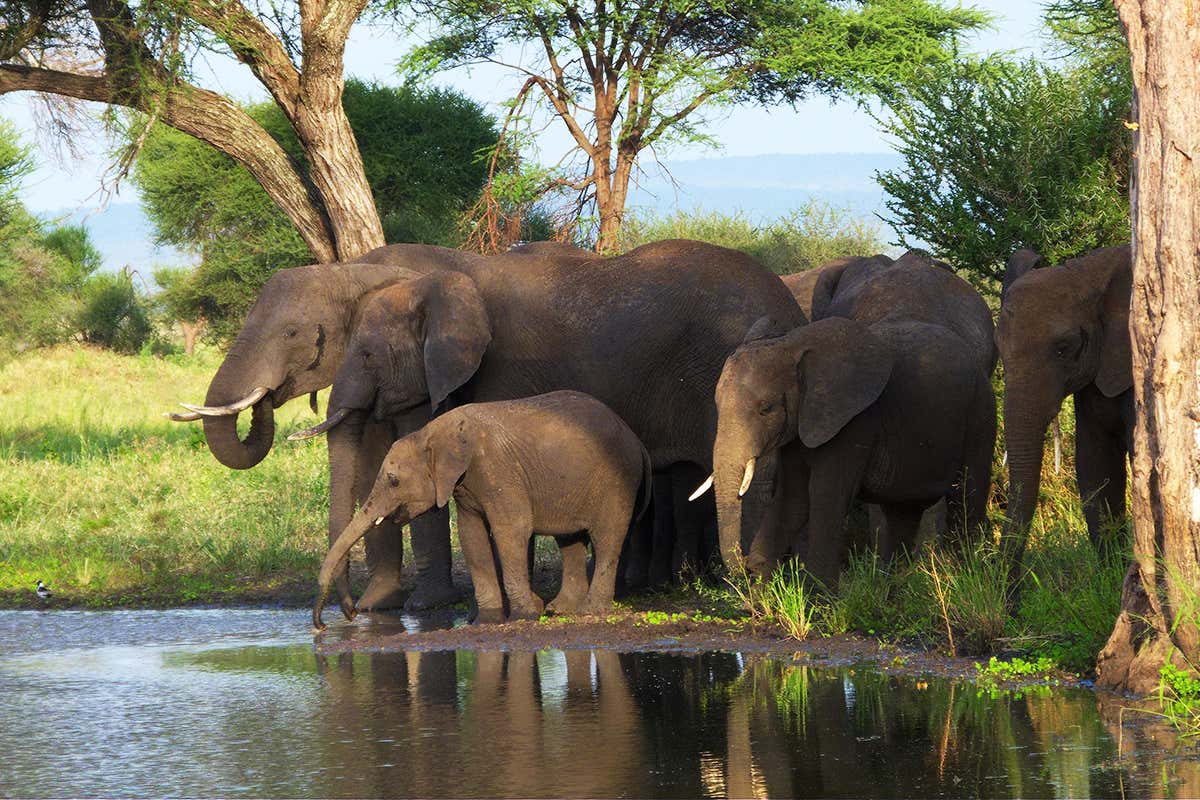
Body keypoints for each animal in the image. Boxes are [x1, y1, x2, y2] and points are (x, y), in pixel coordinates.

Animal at [313, 391, 652, 628]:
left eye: (394, 481)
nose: (347, 617)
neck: (433, 432)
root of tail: (637, 441)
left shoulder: (496, 469)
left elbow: (511, 530)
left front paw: (525, 616)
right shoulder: (464, 485)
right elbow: (471, 534)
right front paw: (487, 620)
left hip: (617, 479)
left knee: (607, 538)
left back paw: (589, 611)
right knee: (570, 540)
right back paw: (561, 610)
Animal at [700, 255, 997, 587]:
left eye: (767, 408)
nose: (743, 567)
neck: (795, 345)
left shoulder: (855, 420)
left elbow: (825, 495)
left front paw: (820, 592)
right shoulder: (802, 422)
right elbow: (793, 498)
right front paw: (766, 583)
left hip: (981, 411)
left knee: (967, 493)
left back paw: (969, 573)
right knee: (903, 510)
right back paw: (894, 584)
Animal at [996, 244, 1133, 588]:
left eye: (1063, 348)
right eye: (999, 350)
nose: (1012, 598)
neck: (1087, 271)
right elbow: (1095, 465)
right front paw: (1112, 581)